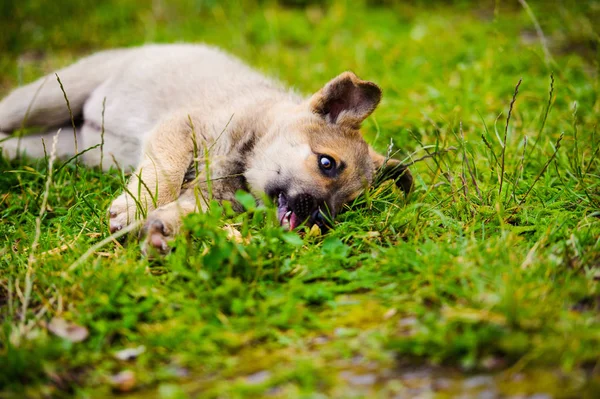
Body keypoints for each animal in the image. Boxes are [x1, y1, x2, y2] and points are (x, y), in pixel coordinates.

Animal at [0, 43, 412, 253]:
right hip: (46, 98)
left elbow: (188, 210)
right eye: (327, 163)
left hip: (60, 146)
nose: (320, 222)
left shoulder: (213, 197)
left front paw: (162, 230)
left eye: (349, 205)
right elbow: (164, 174)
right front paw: (135, 209)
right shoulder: (181, 129)